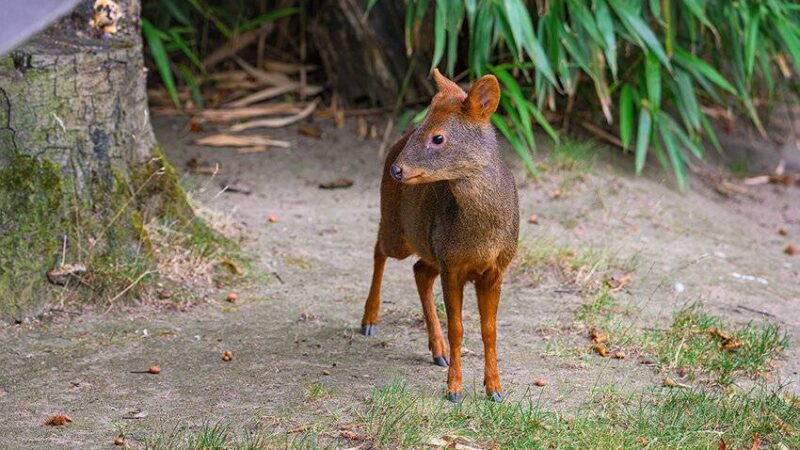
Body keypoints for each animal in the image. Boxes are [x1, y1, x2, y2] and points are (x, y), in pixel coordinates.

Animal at [360, 69, 519, 403]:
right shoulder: (452, 266)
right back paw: (369, 320)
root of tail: (394, 145)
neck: (481, 235)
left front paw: (495, 388)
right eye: (422, 126)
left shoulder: (495, 269)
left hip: (429, 246)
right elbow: (457, 327)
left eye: (438, 137)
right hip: (400, 231)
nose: (398, 170)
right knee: (379, 248)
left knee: (419, 270)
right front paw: (454, 389)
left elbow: (489, 329)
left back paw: (437, 350)